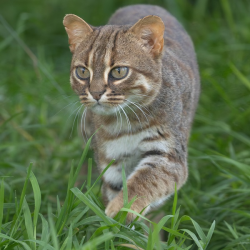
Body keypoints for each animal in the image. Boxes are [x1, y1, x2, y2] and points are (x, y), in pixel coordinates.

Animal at [62, 3, 199, 223]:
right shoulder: (113, 160)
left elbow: (143, 183)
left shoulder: (169, 155)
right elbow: (120, 190)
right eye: (82, 72)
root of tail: (141, 4)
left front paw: (120, 210)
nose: (95, 93)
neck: (124, 120)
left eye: (119, 72)